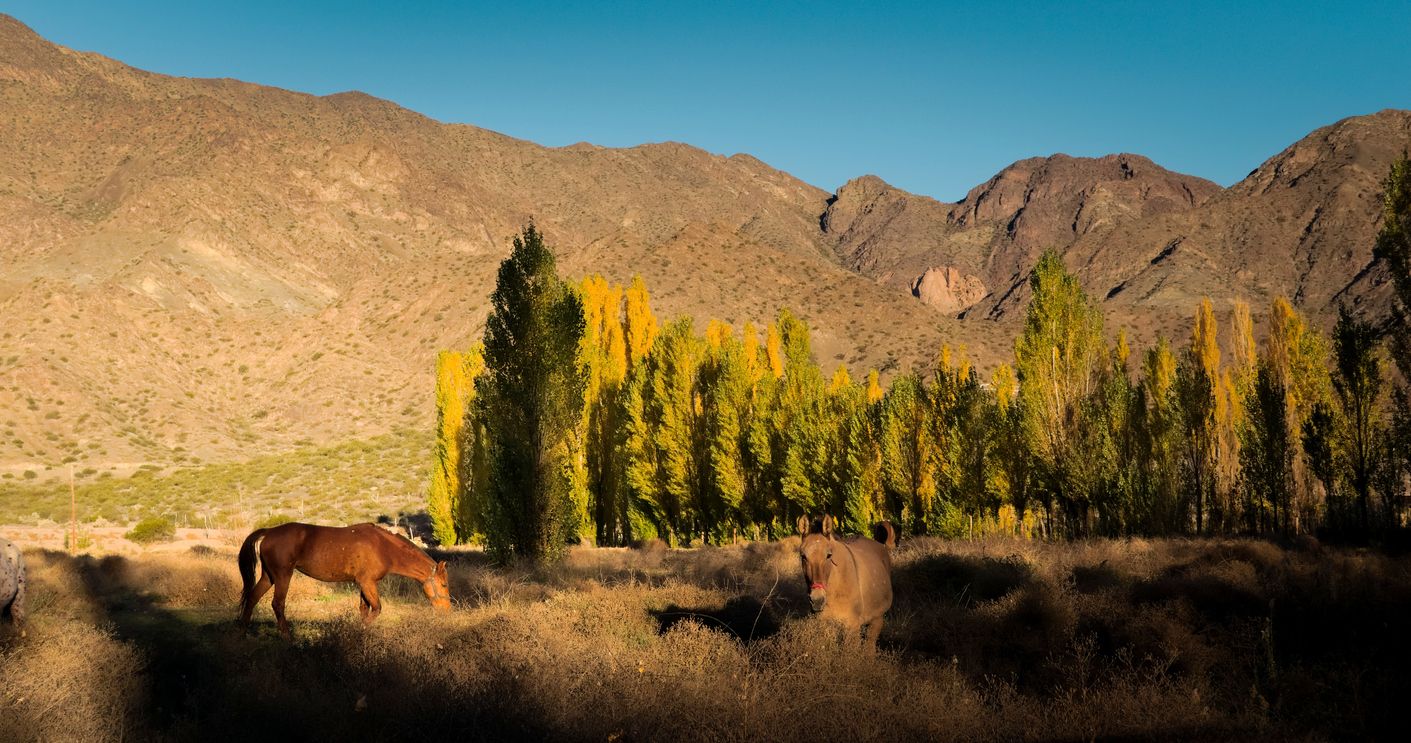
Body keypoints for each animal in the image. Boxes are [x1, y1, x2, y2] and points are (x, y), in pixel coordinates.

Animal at [238, 522, 451, 639]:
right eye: (443, 585)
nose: (447, 611)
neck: (383, 547)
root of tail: (269, 532)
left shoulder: (364, 584)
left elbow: (364, 610)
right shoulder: (367, 583)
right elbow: (376, 610)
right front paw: (357, 631)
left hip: (269, 576)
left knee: (253, 598)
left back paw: (243, 633)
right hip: (283, 576)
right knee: (278, 604)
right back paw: (287, 637)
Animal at [796, 515, 895, 648]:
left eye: (829, 555)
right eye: (803, 556)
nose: (817, 600)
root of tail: (881, 545)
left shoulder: (852, 627)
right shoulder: (823, 627)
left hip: (877, 620)